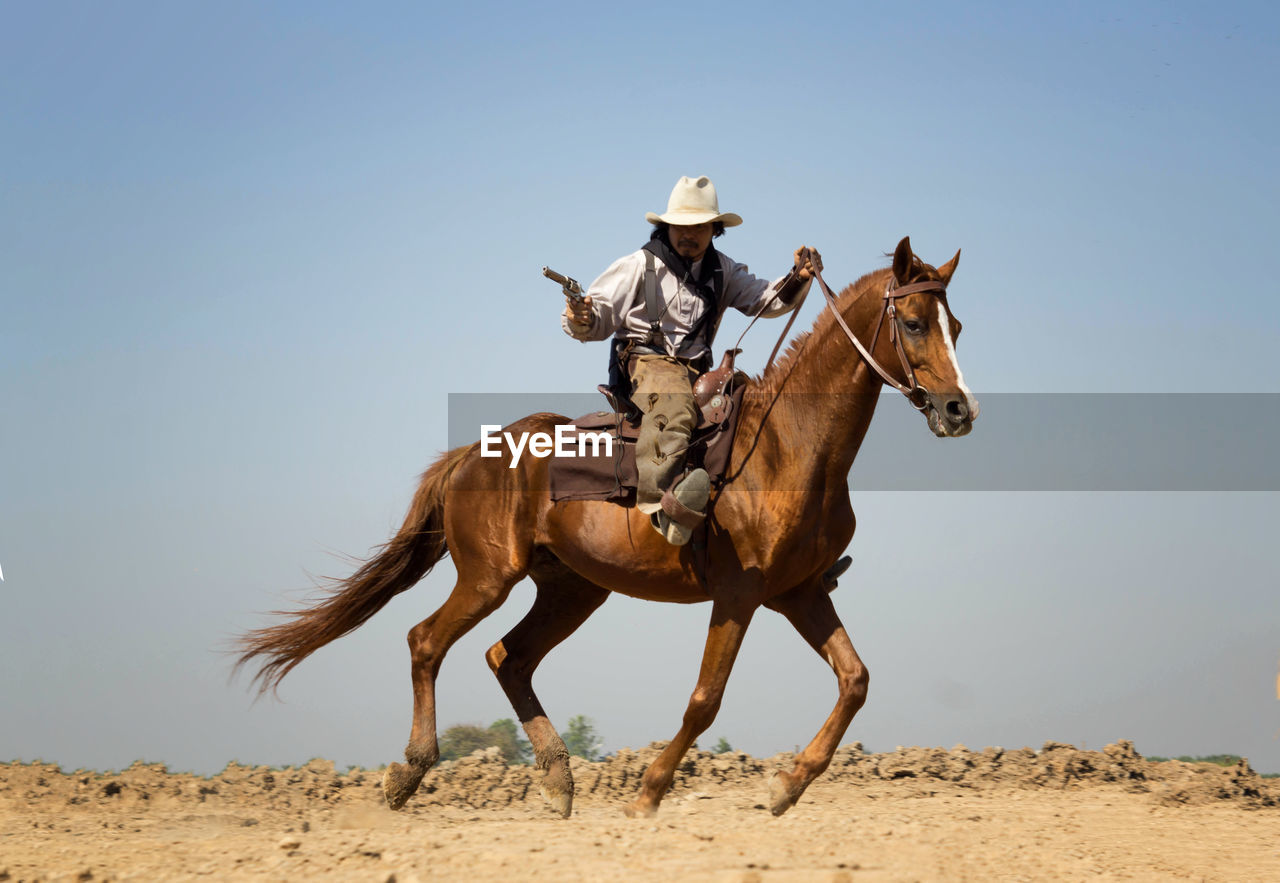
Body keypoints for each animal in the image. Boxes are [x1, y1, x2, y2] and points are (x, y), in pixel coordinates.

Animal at [238, 235, 977, 819]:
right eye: (914, 322)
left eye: (958, 325)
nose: (958, 409)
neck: (787, 447)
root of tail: (470, 455)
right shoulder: (740, 594)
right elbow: (705, 699)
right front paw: (648, 793)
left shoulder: (799, 591)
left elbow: (855, 679)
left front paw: (786, 788)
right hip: (489, 576)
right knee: (427, 641)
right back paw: (410, 772)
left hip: (571, 589)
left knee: (509, 656)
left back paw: (559, 780)